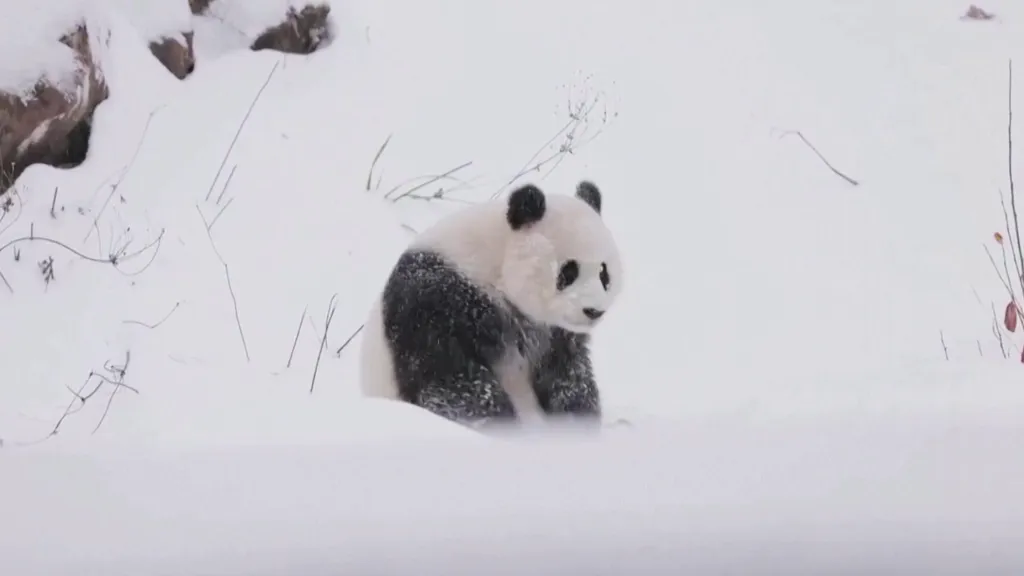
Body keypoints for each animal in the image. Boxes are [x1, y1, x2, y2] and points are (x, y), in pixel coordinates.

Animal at [358, 181, 622, 428]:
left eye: (603, 273)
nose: (593, 311)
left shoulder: (554, 333)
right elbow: (450, 380)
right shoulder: (433, 300)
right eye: (568, 271)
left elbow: (568, 374)